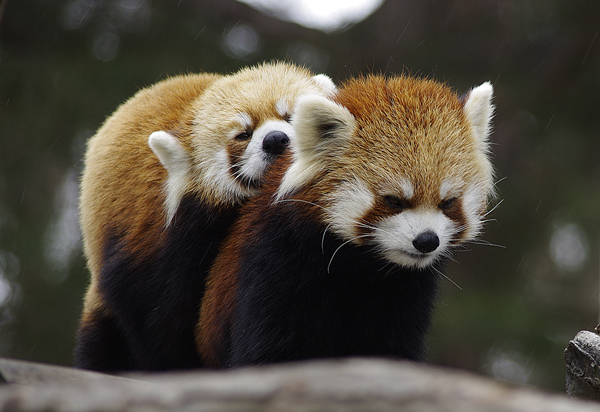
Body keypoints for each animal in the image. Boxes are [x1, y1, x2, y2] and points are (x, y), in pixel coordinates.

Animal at [196, 74, 492, 366]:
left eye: (448, 202)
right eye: (393, 200)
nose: (427, 240)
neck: (358, 267)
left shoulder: (405, 293)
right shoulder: (273, 265)